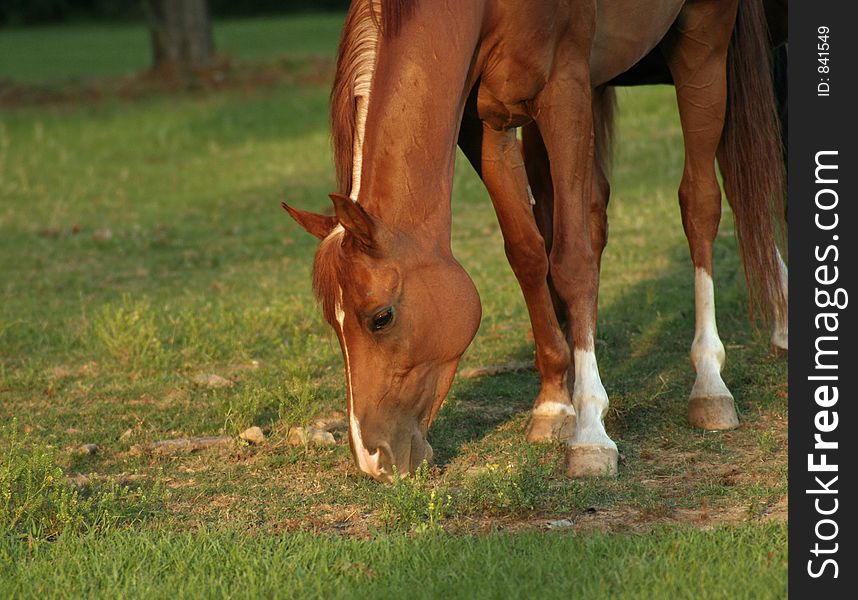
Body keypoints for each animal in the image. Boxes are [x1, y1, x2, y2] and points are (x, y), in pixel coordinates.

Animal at [280, 0, 784, 480]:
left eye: (380, 318)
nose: (373, 460)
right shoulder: (486, 124)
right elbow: (527, 252)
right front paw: (554, 404)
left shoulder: (564, 91)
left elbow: (573, 262)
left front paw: (590, 434)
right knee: (595, 208)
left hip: (702, 43)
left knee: (702, 202)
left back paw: (711, 382)